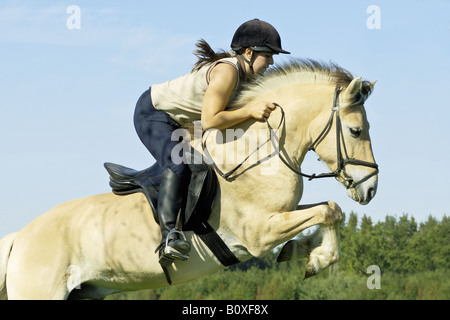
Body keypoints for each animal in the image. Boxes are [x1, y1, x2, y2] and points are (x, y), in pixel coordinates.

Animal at [0, 58, 378, 300]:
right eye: (356, 130)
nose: (371, 188)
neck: (256, 154)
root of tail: (20, 238)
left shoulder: (282, 213)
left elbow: (330, 209)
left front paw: (307, 253)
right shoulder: (259, 232)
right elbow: (327, 211)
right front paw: (315, 256)